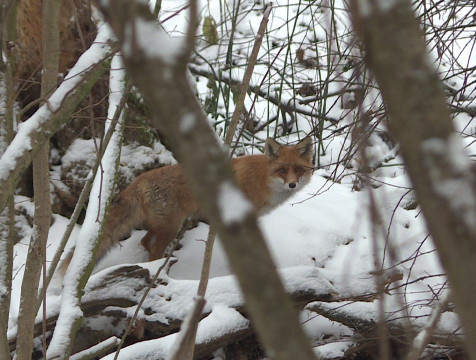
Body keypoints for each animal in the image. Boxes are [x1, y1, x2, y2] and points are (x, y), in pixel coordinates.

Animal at [97, 137, 314, 262]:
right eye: (282, 170)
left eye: (299, 170)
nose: (292, 185)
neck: (263, 179)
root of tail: (140, 179)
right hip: (171, 226)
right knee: (153, 248)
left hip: (164, 225)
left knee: (144, 241)